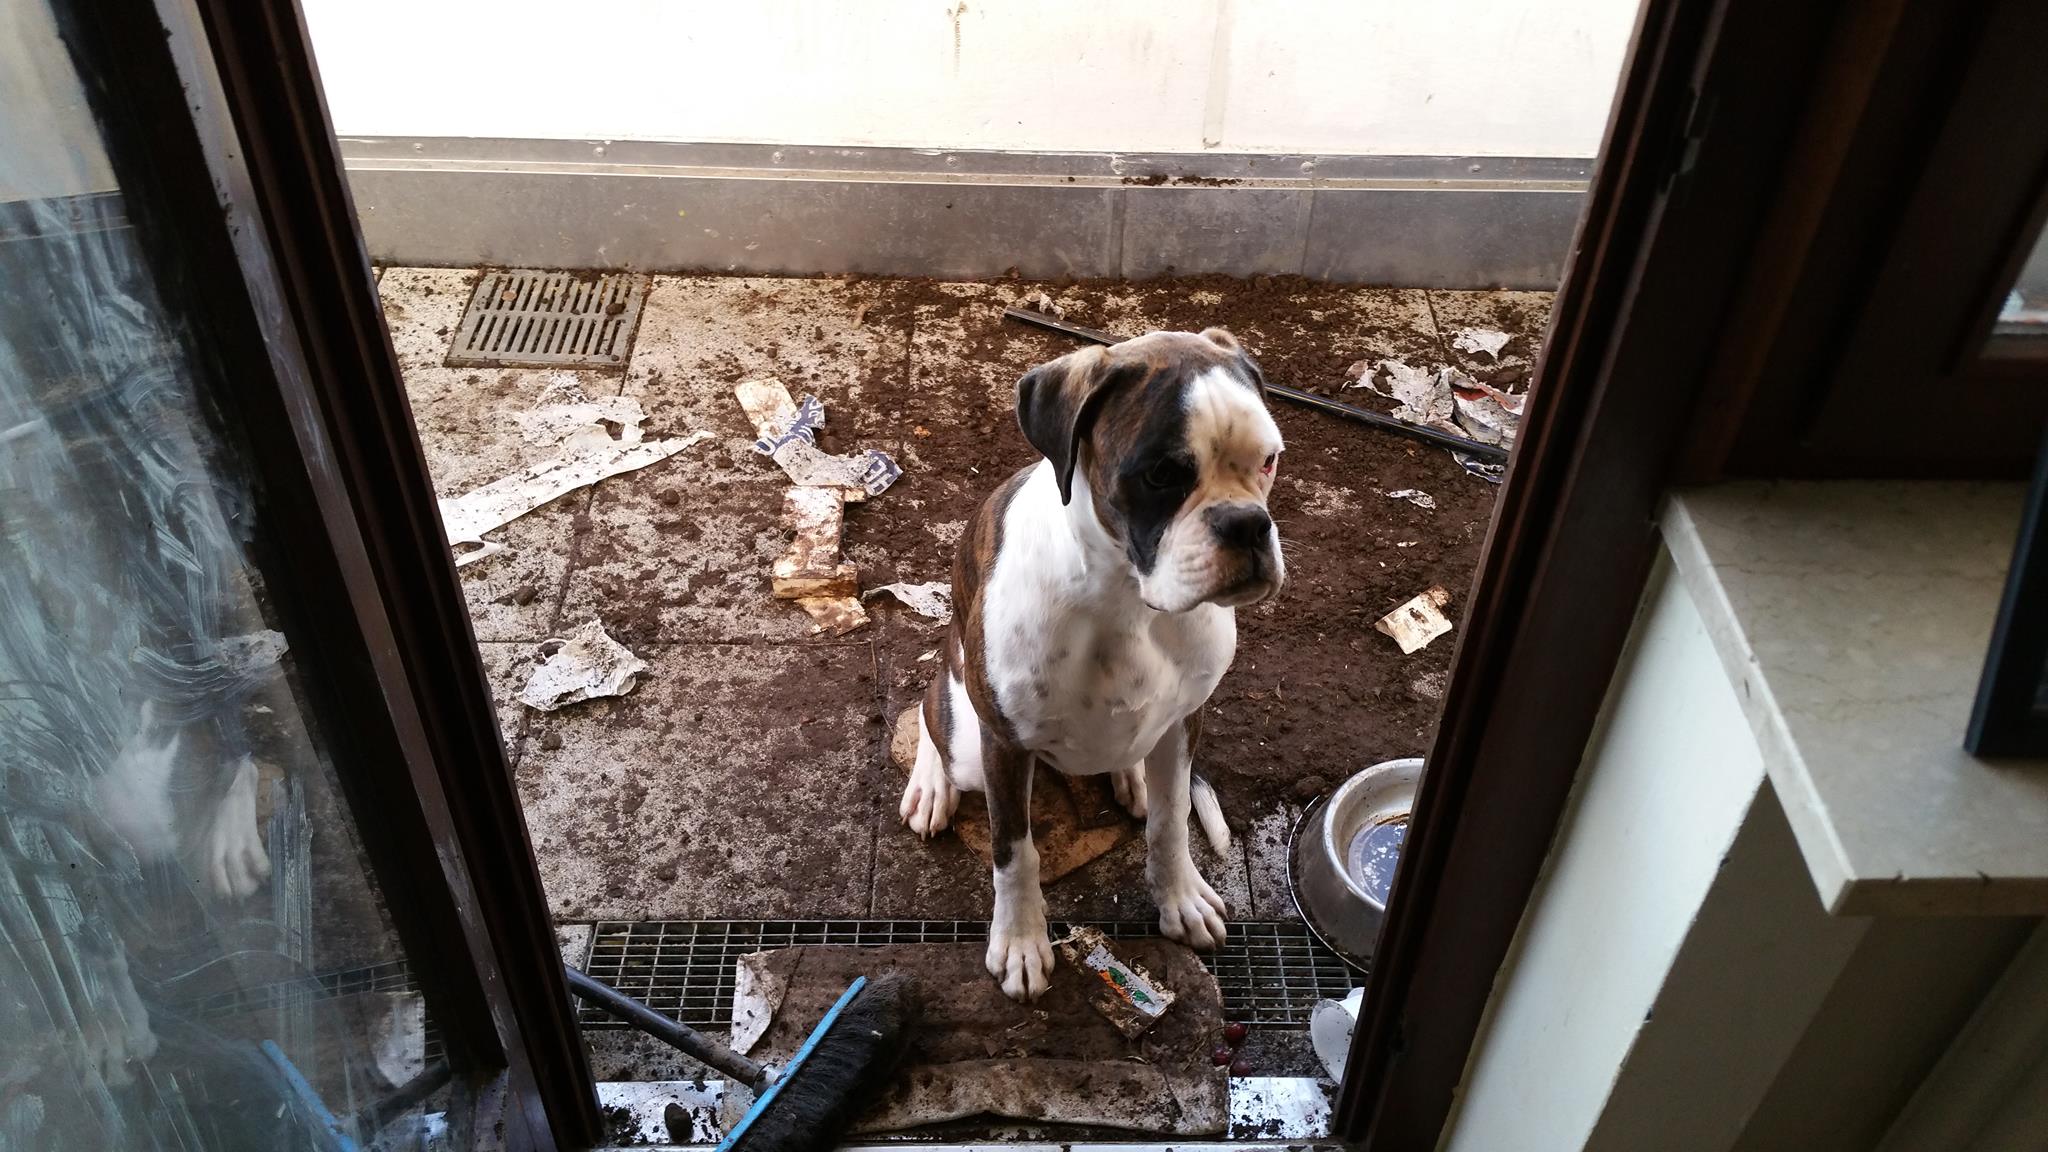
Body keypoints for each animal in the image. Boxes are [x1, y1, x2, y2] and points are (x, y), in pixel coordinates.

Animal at [897, 325, 1277, 996]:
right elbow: (1014, 852)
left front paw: (1179, 899)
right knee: (928, 708)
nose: (1248, 524)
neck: (1126, 601)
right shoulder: (1004, 746)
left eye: (1269, 460)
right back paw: (929, 785)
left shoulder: (1185, 720)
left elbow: (1172, 821)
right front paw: (1021, 940)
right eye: (1161, 474)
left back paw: (1132, 777)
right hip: (968, 736)